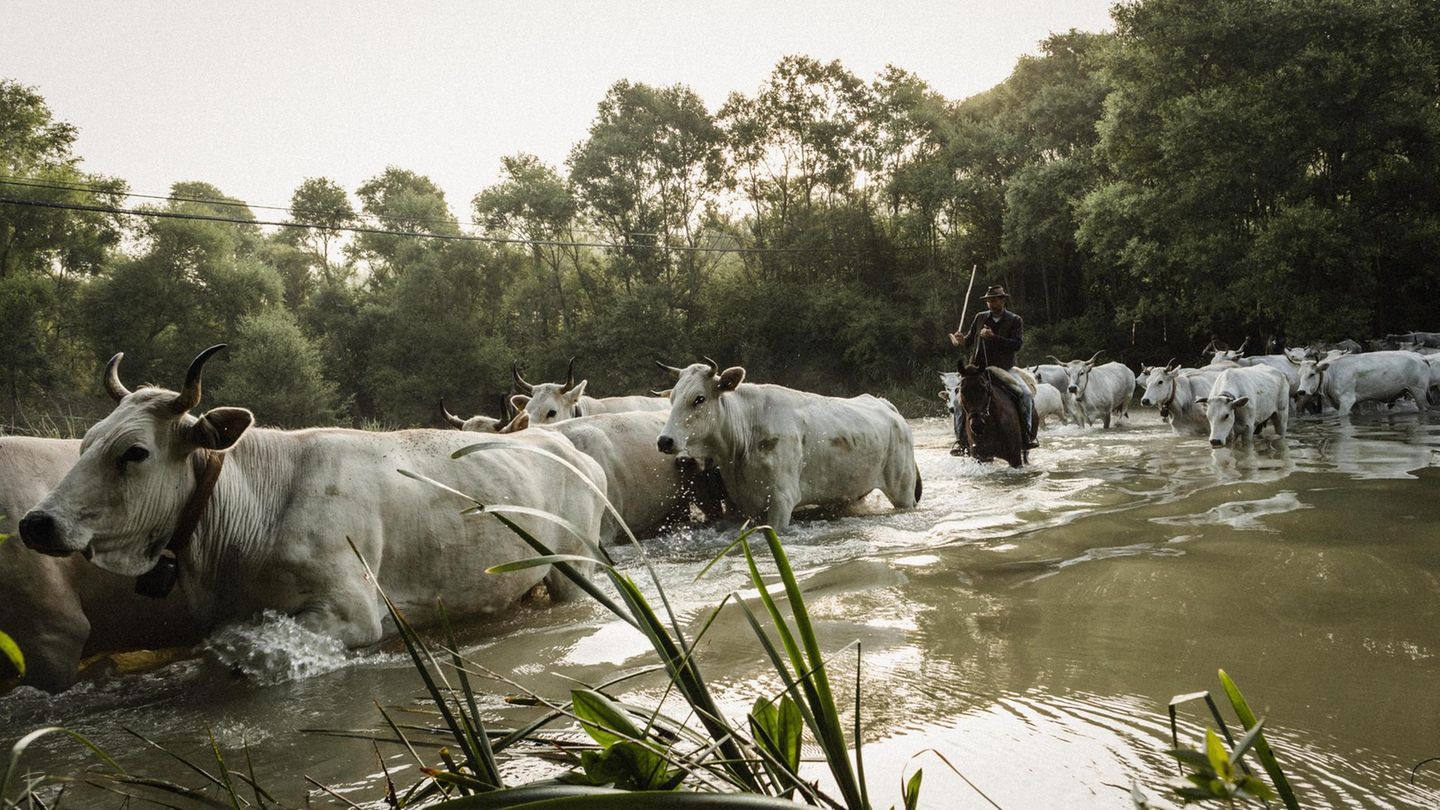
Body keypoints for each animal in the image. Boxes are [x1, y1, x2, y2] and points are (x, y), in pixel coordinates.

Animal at [20, 346, 607, 648]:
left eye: (134, 452)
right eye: (86, 442)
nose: (36, 523)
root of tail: (560, 443)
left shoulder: (353, 615)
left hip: (574, 570)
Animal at [654, 362, 920, 533]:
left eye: (699, 398)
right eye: (672, 398)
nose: (664, 440)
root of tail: (884, 404)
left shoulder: (782, 500)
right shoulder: (743, 504)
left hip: (903, 491)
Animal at [1296, 351, 1432, 416]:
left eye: (1312, 374)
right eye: (1299, 374)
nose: (1301, 391)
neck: (1332, 373)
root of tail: (1421, 357)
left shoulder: (1347, 400)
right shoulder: (1353, 403)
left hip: (1419, 392)